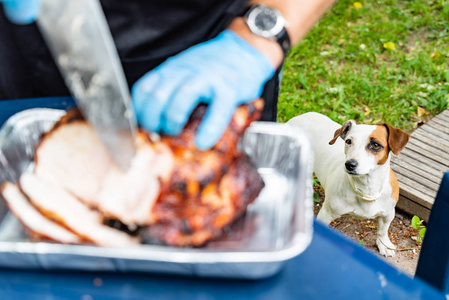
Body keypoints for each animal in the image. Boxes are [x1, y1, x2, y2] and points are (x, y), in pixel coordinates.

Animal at [288, 112, 410, 255]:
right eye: (348, 141)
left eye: (375, 145)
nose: (350, 164)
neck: (367, 188)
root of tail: (302, 115)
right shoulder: (326, 214)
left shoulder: (388, 213)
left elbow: (382, 231)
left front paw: (384, 244)